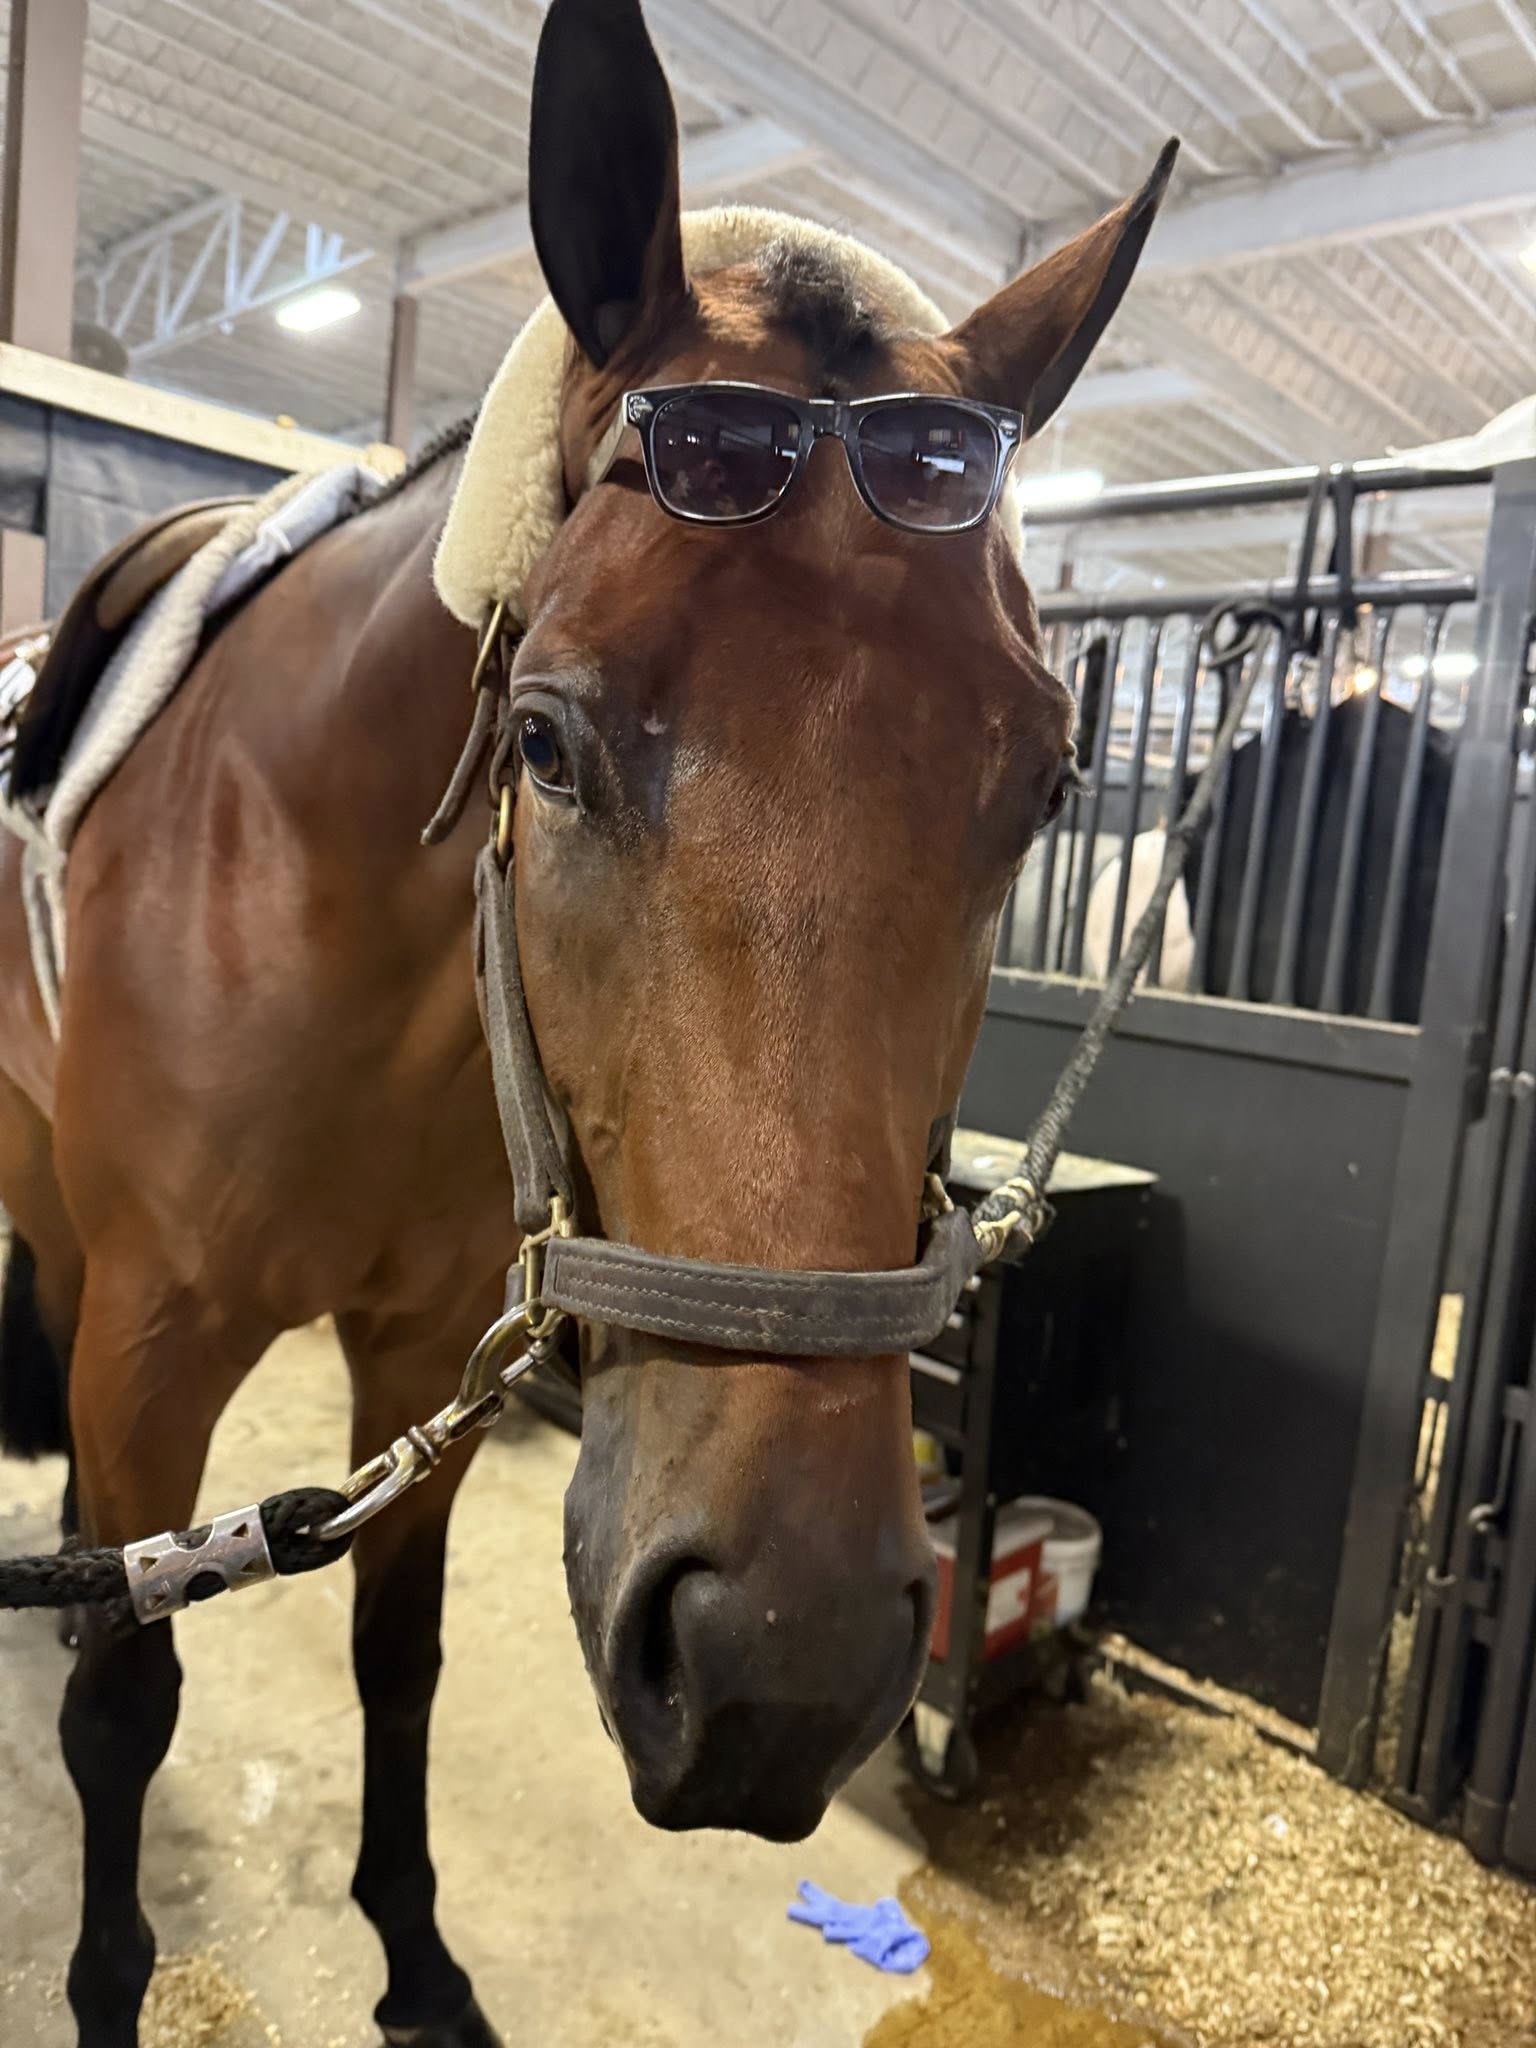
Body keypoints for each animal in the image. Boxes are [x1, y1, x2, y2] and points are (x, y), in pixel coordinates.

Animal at [0, 1, 1174, 2040]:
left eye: (1044, 782)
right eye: (540, 739)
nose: (780, 1656)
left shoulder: (424, 1354)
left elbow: (397, 1652)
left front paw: (416, 1956)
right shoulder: (153, 1346)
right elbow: (125, 1706)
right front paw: (108, 1976)